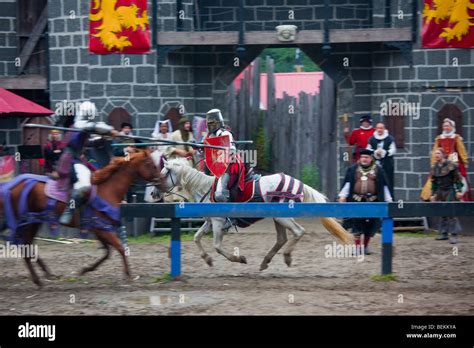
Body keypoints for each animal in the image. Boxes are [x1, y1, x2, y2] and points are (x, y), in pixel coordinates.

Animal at [0, 148, 161, 286]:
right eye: (150, 164)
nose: (161, 180)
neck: (108, 190)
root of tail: (14, 185)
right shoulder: (102, 229)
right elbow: (120, 248)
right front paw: (128, 275)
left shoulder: (99, 229)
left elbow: (107, 252)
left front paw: (85, 270)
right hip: (27, 221)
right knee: (24, 245)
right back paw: (38, 280)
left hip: (35, 221)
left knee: (27, 244)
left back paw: (47, 274)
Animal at [158, 159, 352, 270]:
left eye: (163, 174)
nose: (154, 193)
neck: (204, 188)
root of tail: (298, 183)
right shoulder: (210, 222)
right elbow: (197, 238)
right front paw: (207, 260)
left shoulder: (218, 223)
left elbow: (217, 246)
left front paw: (239, 259)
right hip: (277, 218)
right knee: (282, 238)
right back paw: (265, 261)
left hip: (282, 217)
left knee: (298, 232)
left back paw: (287, 258)